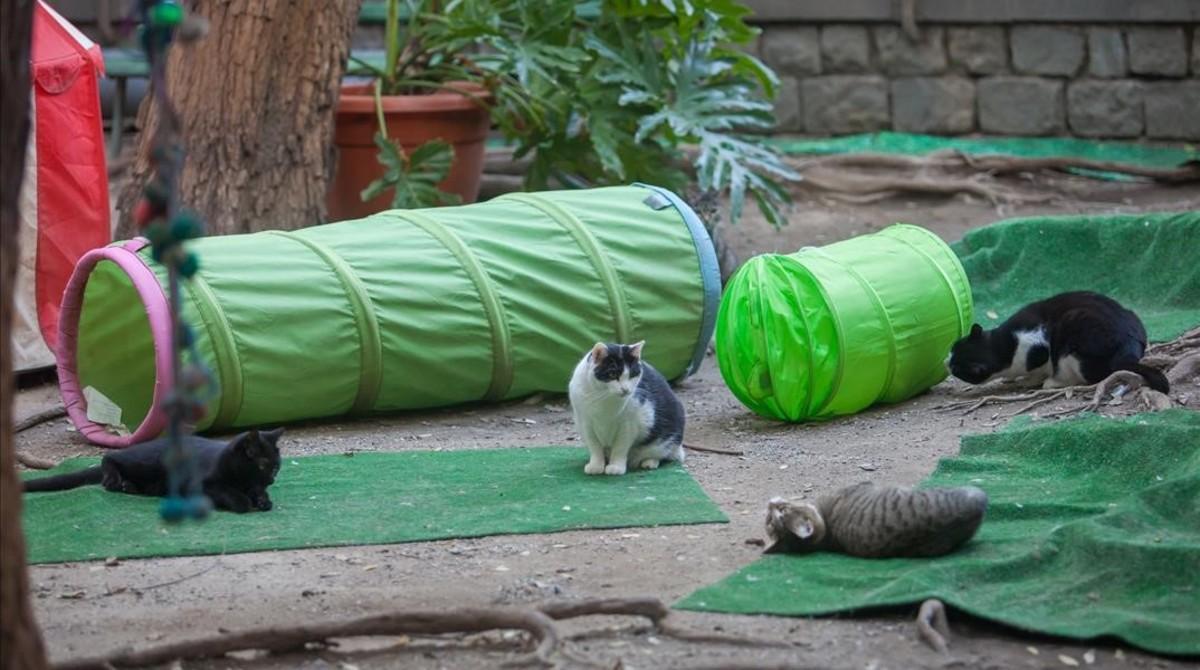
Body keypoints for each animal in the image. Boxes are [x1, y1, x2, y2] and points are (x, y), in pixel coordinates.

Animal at [26, 429, 285, 513]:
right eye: (263, 464)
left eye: (276, 466)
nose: (272, 479)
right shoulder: (202, 485)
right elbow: (229, 493)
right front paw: (244, 501)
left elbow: (259, 493)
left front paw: (263, 499)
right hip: (145, 461)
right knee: (110, 457)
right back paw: (113, 479)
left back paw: (129, 486)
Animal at [568, 341, 686, 477]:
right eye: (612, 374)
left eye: (632, 374)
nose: (625, 389)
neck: (604, 397)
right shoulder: (585, 422)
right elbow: (594, 446)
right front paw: (596, 466)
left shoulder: (628, 424)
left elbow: (620, 447)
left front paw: (616, 467)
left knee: (664, 454)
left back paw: (650, 462)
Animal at [945, 292, 1171, 393]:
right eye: (952, 348)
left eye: (956, 369)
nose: (945, 362)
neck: (1005, 345)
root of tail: (1129, 344)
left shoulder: (1037, 346)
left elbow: (1036, 370)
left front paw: (1028, 380)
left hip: (1070, 338)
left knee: (1090, 377)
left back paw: (1053, 382)